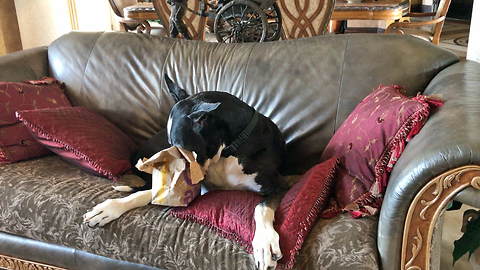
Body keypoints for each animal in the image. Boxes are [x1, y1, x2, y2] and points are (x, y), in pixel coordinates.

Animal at [83, 75, 288, 268]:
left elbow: (261, 207)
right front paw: (110, 208)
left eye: (180, 148)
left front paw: (265, 243)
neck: (228, 150)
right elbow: (148, 193)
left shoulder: (281, 185)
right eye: (171, 145)